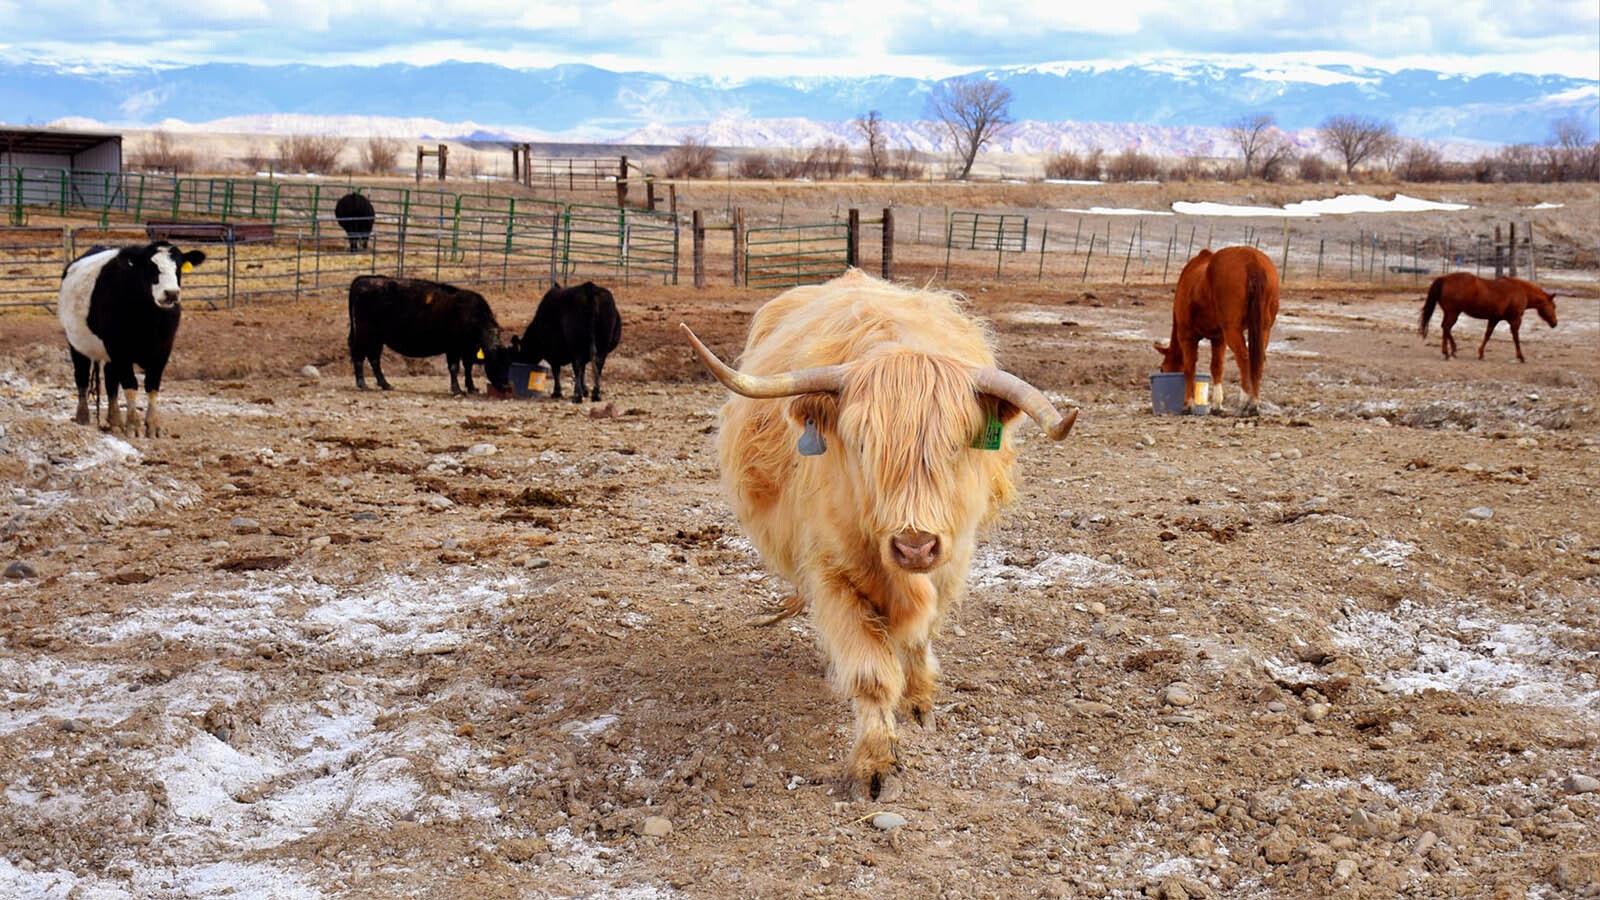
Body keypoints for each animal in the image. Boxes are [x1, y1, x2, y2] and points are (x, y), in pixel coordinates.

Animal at [58, 238, 206, 435]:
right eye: (151, 266)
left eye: (179, 266)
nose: (171, 293)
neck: (149, 319)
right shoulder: (119, 349)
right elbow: (130, 384)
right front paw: (134, 425)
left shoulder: (163, 350)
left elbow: (152, 385)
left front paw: (152, 425)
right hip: (77, 344)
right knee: (81, 377)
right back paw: (83, 417)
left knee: (111, 381)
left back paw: (114, 420)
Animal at [348, 273, 505, 392]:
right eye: (493, 361)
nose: (505, 385)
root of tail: (364, 279)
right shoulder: (453, 348)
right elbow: (454, 368)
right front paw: (457, 390)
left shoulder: (467, 349)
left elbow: (468, 367)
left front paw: (471, 388)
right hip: (364, 334)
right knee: (359, 356)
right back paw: (362, 384)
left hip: (377, 338)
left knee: (374, 358)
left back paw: (385, 384)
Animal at [681, 267, 1081, 797]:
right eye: (863, 444)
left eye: (955, 446)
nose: (914, 546)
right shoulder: (831, 571)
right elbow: (870, 672)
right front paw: (875, 763)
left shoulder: (950, 561)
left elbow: (917, 640)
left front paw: (919, 703)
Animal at [1158, 243, 1280, 416]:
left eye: (1163, 369)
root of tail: (1252, 260)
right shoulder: (1219, 338)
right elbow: (1217, 367)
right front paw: (1216, 405)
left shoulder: (1187, 335)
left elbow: (1189, 368)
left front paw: (1188, 404)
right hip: (1263, 329)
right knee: (1257, 360)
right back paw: (1254, 403)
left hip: (1232, 330)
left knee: (1244, 358)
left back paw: (1244, 402)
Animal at [1420, 269, 1555, 360]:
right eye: (1553, 306)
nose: (1555, 323)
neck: (1521, 291)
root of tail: (1444, 278)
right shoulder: (1515, 320)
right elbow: (1516, 338)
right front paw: (1521, 356)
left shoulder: (1494, 319)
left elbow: (1487, 335)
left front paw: (1481, 353)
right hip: (1453, 313)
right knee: (1447, 327)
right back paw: (1450, 351)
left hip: (1448, 313)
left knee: (1445, 328)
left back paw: (1448, 351)